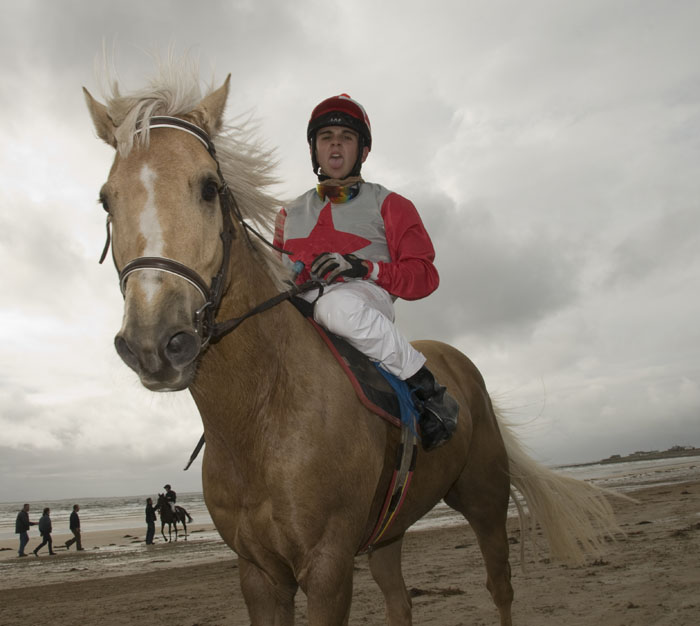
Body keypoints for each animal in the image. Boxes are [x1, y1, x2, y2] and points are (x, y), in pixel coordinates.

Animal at [85, 59, 620, 624]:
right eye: (106, 199)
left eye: (209, 187)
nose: (154, 341)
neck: (259, 416)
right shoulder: (259, 574)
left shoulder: (327, 566)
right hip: (389, 533)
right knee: (400, 603)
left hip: (485, 497)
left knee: (500, 586)